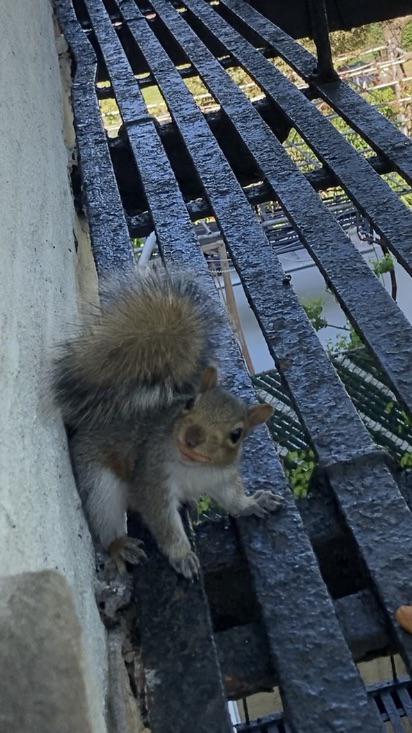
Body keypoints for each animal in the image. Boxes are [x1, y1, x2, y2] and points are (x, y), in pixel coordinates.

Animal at [53, 265, 283, 579]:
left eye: (237, 434)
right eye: (189, 404)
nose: (192, 437)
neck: (194, 468)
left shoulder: (222, 477)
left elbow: (233, 498)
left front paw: (252, 503)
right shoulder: (153, 479)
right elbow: (166, 526)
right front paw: (183, 556)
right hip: (98, 483)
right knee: (104, 516)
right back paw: (119, 545)